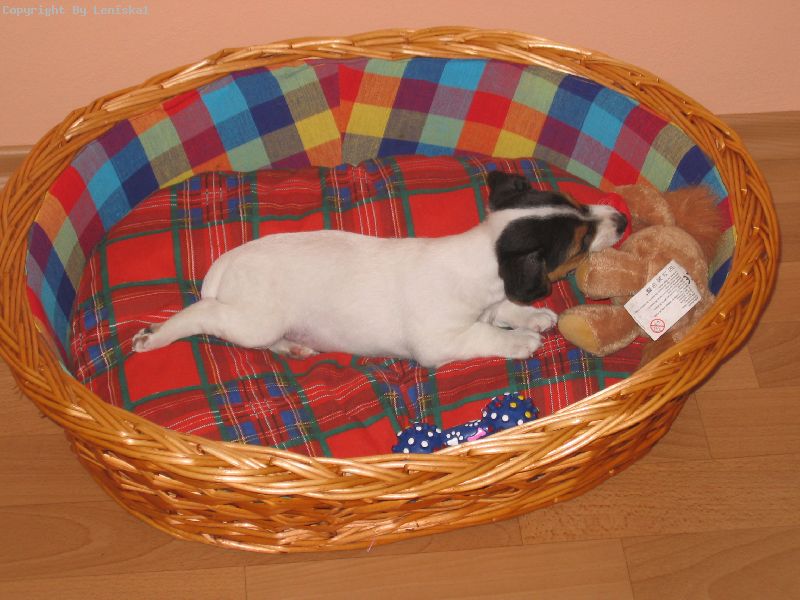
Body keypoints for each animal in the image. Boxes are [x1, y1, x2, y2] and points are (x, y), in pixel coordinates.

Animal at [132, 171, 627, 367]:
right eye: (580, 243)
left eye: (580, 205)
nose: (622, 219)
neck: (479, 255)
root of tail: (229, 261)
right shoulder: (439, 342)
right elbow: (485, 335)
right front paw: (520, 340)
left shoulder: (491, 301)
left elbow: (504, 308)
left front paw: (531, 316)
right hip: (253, 319)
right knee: (202, 315)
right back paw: (154, 336)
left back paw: (293, 348)